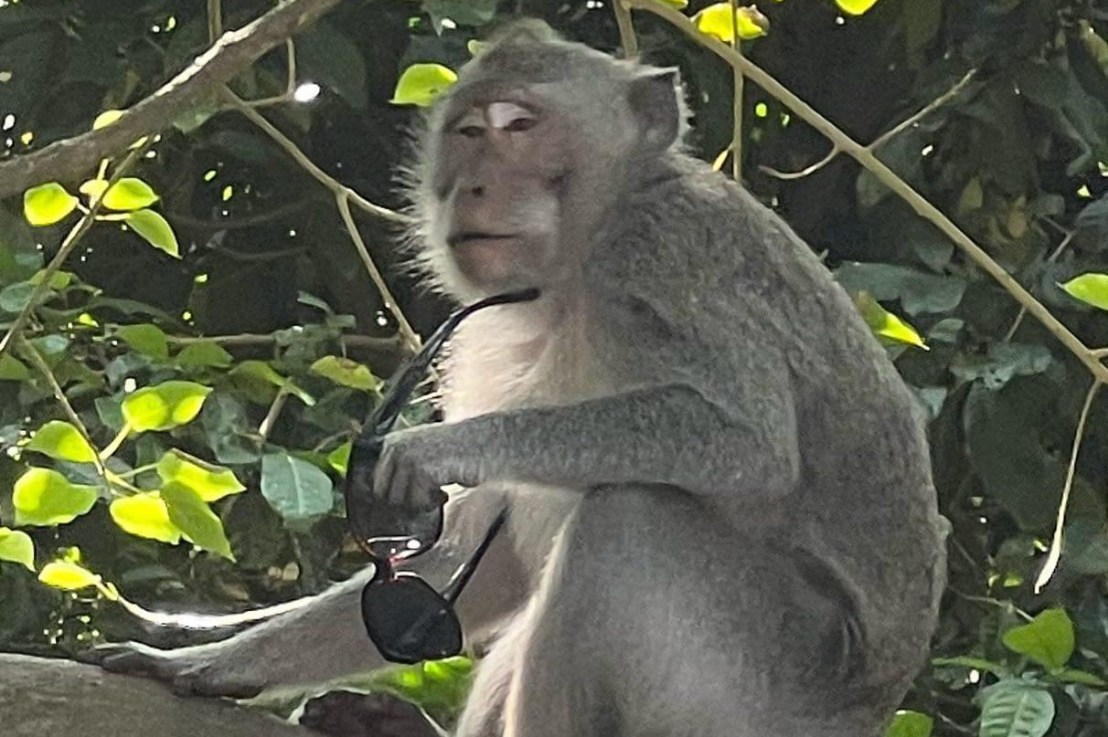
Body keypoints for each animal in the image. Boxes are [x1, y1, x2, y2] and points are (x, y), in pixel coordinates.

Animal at [87, 20, 946, 737]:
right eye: (467, 133)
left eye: (521, 127)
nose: (472, 184)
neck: (573, 270)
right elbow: (472, 561)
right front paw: (212, 656)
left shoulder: (667, 254)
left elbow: (748, 443)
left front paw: (433, 450)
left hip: (756, 691)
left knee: (628, 522)